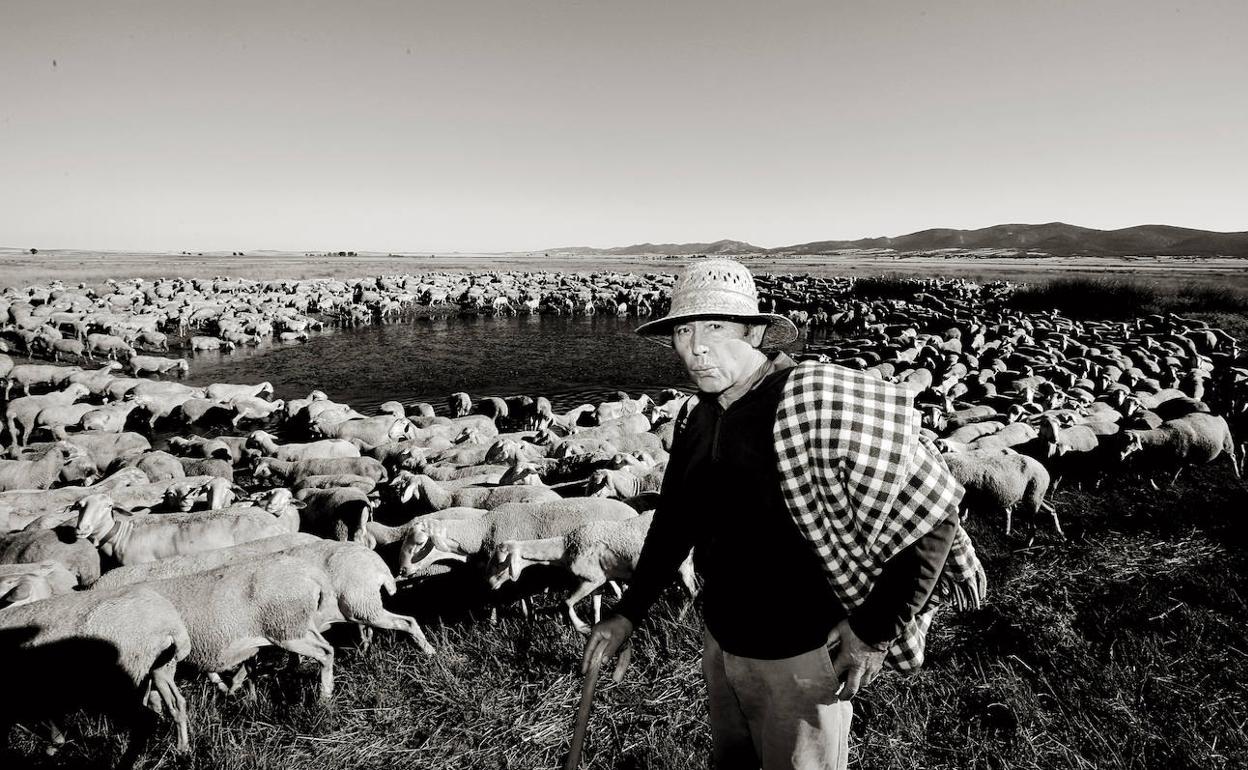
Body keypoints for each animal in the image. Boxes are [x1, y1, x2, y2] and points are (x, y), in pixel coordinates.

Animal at [0, 581, 189, 748]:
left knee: (144, 721)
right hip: (161, 669)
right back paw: (182, 748)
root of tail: (171, 626)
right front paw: (56, 741)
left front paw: (55, 743)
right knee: (177, 704)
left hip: (127, 678)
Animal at [486, 511, 703, 631]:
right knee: (695, 589)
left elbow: (565, 603)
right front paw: (595, 628)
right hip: (686, 564)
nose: (490, 584)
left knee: (692, 591)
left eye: (499, 562)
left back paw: (679, 620)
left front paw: (582, 628)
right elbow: (595, 607)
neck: (565, 547)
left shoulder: (592, 579)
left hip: (682, 564)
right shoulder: (599, 581)